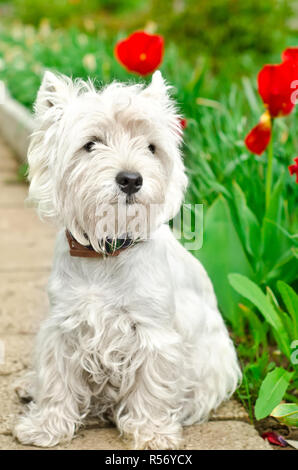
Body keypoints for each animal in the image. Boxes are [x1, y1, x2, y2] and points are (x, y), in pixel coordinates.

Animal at [13, 70, 242, 448]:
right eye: (90, 144)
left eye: (151, 147)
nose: (131, 179)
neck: (105, 252)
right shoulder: (63, 325)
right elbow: (57, 378)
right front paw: (45, 425)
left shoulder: (153, 332)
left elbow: (151, 385)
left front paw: (151, 433)